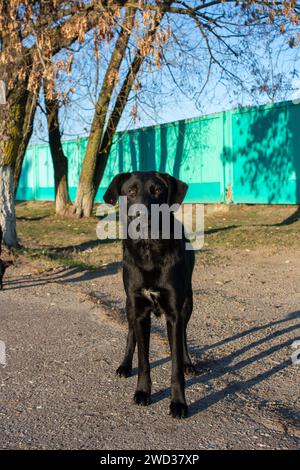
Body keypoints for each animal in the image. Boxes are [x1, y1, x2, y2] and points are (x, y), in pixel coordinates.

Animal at [104, 173, 196, 418]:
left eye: (157, 191)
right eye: (131, 192)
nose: (141, 215)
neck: (149, 249)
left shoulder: (174, 313)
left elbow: (175, 366)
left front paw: (178, 403)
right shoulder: (139, 310)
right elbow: (143, 361)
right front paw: (143, 392)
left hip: (188, 303)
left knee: (183, 335)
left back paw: (188, 362)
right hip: (130, 307)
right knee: (131, 334)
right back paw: (125, 365)